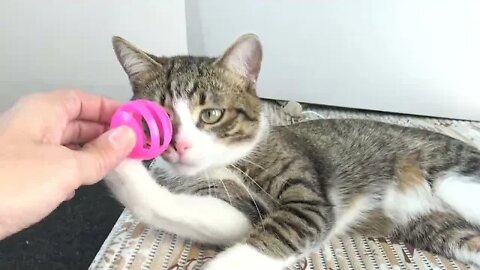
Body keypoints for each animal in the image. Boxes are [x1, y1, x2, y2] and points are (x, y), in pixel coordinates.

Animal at [105, 33, 480, 268]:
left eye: (211, 115)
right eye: (162, 117)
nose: (181, 145)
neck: (226, 162)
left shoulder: (308, 201)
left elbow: (278, 232)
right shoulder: (234, 209)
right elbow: (203, 213)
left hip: (452, 179)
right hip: (434, 226)